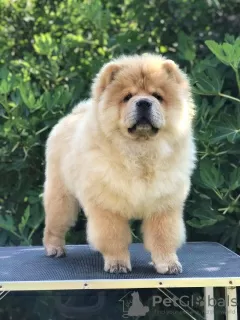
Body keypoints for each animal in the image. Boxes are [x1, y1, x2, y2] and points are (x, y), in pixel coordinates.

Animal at [43, 53, 196, 274]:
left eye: (157, 96)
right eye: (127, 97)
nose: (143, 103)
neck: (141, 151)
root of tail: (72, 115)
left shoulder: (163, 206)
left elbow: (163, 237)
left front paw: (168, 264)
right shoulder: (108, 206)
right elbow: (113, 237)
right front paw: (117, 263)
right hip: (61, 198)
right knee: (54, 225)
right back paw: (54, 248)